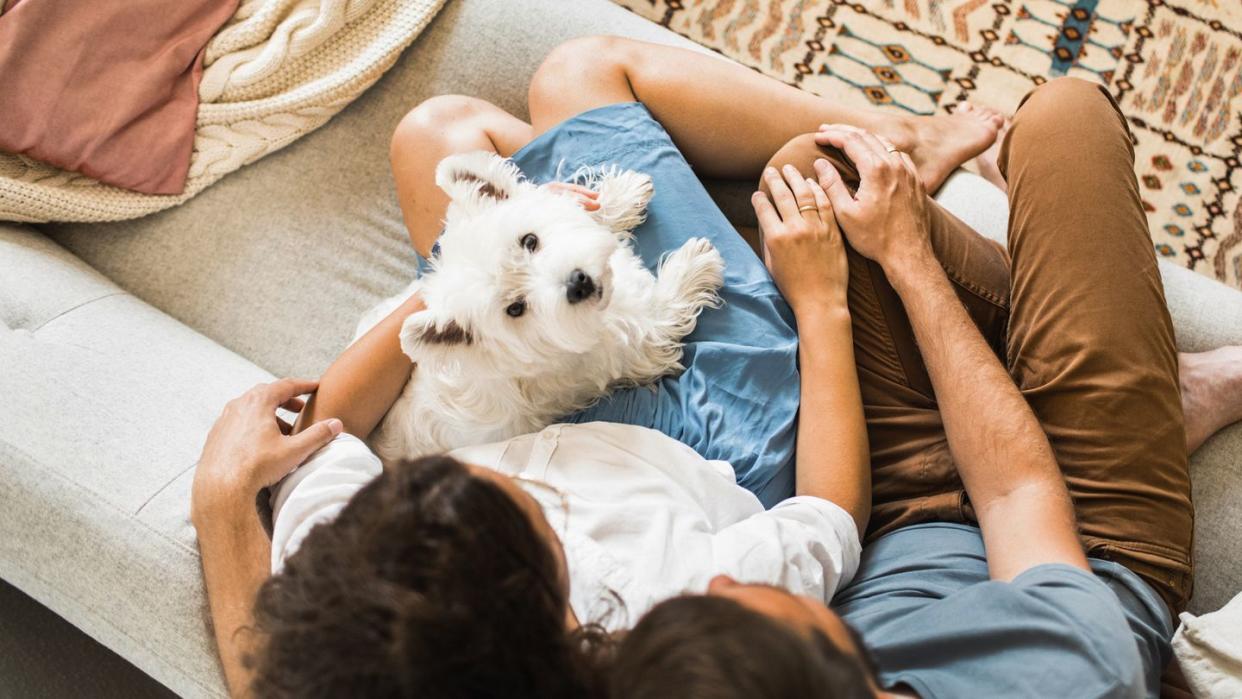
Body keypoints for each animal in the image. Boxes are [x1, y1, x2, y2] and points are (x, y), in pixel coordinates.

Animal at [357, 150, 725, 461]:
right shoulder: (637, 343)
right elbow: (666, 308)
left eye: (529, 241)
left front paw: (621, 196)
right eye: (515, 309)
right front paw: (694, 263)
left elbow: (578, 211)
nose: (578, 283)